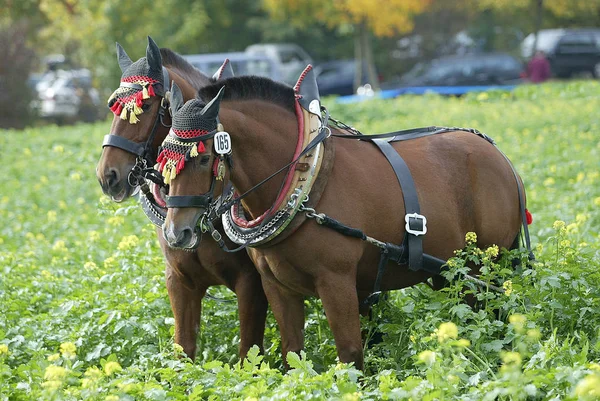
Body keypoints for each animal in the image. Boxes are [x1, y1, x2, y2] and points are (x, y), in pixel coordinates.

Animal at [95, 37, 268, 358]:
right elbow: (183, 349)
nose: (107, 176)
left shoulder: (252, 285)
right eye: (113, 106)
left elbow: (248, 352)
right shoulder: (179, 282)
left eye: (146, 105)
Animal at [162, 70, 528, 368]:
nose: (176, 233)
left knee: (491, 320)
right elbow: (293, 354)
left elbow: (350, 353)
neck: (303, 182)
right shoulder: (277, 286)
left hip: (484, 268)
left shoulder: (336, 282)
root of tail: (498, 155)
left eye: (203, 158)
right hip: (451, 270)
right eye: (166, 158)